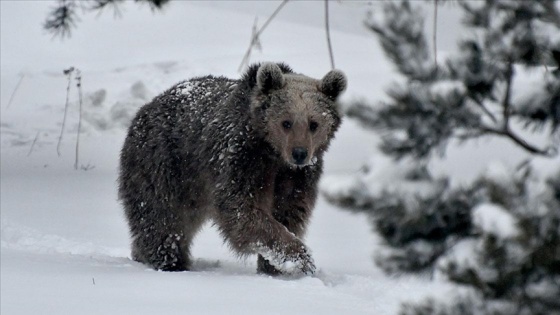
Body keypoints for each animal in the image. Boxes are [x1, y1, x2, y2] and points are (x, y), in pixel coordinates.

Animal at [118, 62, 346, 276]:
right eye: (286, 122)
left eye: (314, 124)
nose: (299, 153)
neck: (273, 153)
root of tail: (144, 109)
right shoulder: (241, 159)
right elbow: (241, 209)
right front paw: (301, 258)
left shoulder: (297, 177)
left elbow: (289, 212)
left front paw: (274, 267)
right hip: (164, 167)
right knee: (162, 221)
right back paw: (169, 261)